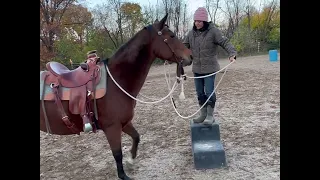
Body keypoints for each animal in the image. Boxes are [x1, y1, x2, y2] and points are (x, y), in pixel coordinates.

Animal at [39, 13, 191, 180]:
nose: (190, 56)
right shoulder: (112, 128)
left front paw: (131, 160)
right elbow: (117, 153)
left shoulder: (124, 123)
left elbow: (136, 137)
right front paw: (123, 175)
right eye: (171, 36)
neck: (115, 81)